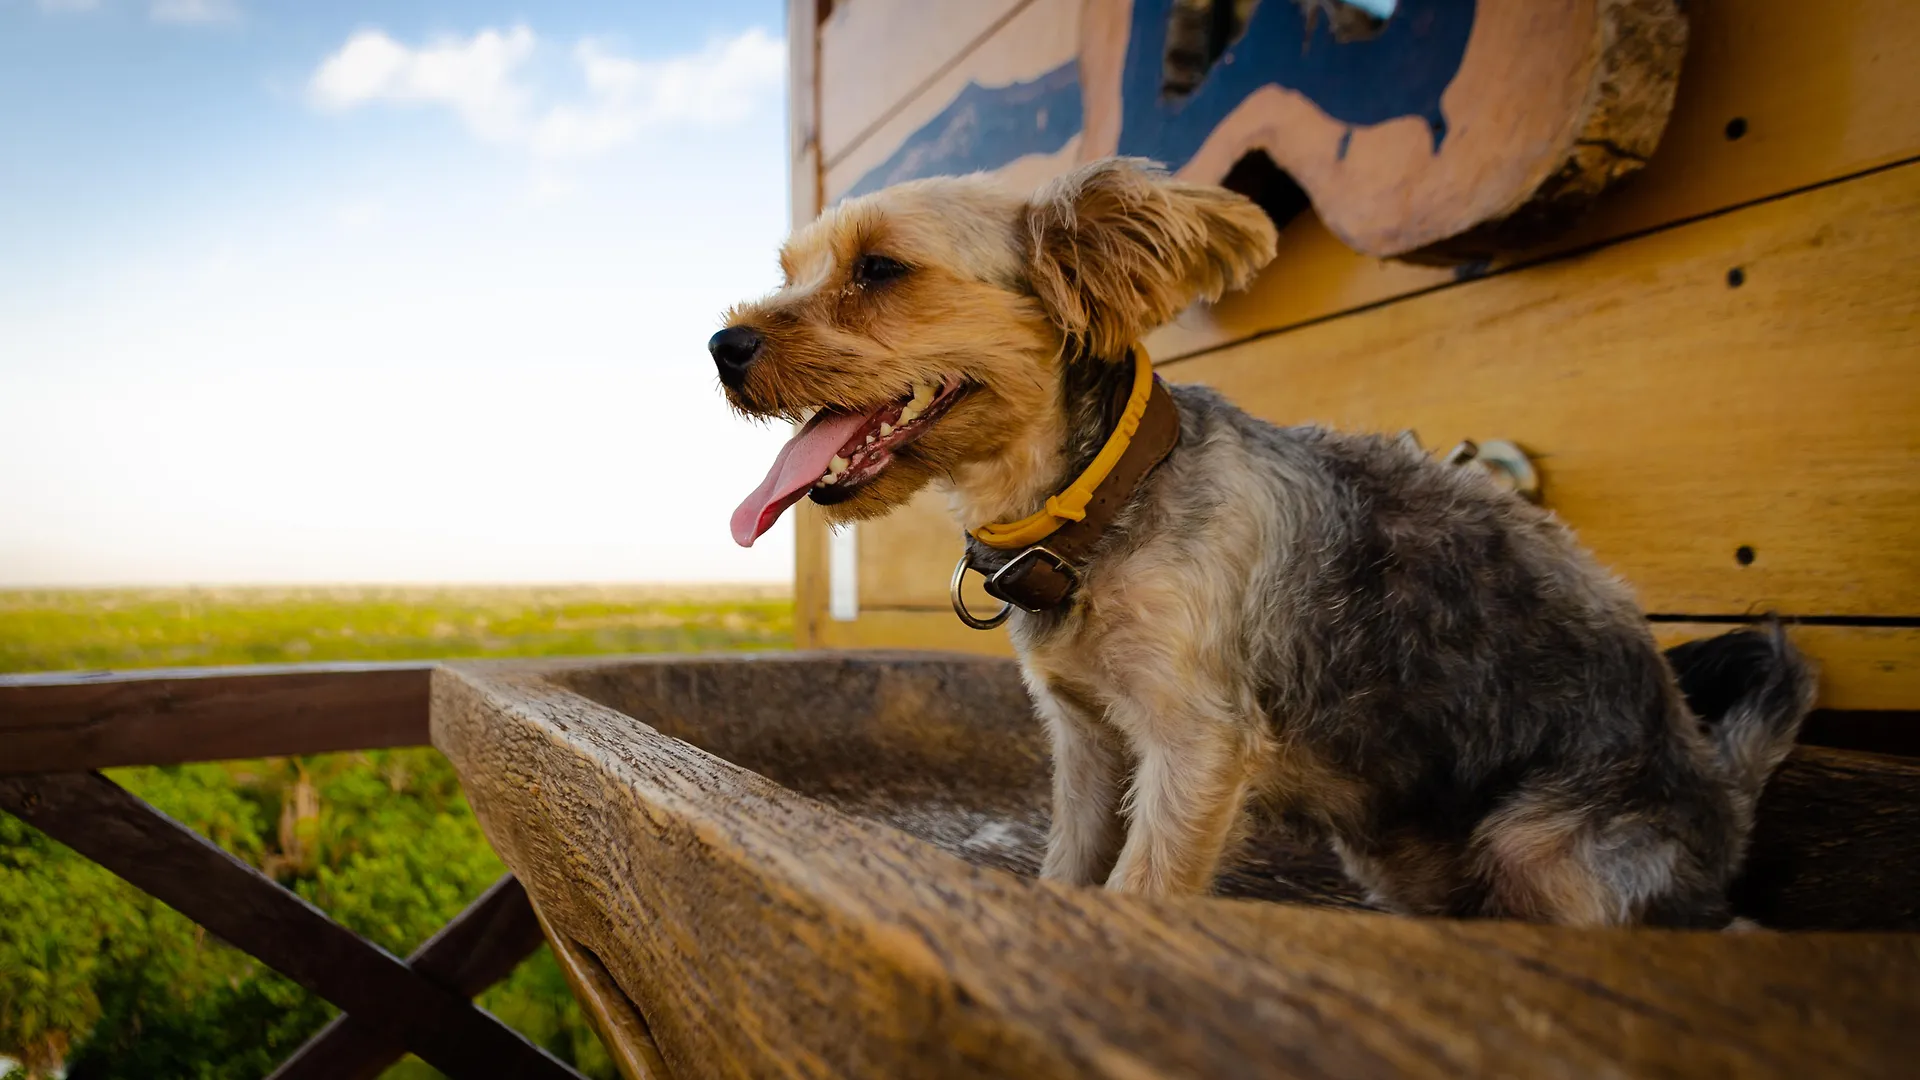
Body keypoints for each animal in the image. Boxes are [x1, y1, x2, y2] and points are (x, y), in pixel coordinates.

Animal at [718, 155, 1812, 922]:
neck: (1096, 505)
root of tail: (1722, 781)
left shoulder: (1194, 751)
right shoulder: (1085, 744)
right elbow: (1070, 871)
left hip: (1544, 844)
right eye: (792, 271)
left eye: (880, 270)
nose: (722, 346)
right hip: (1394, 849)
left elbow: (1142, 892)